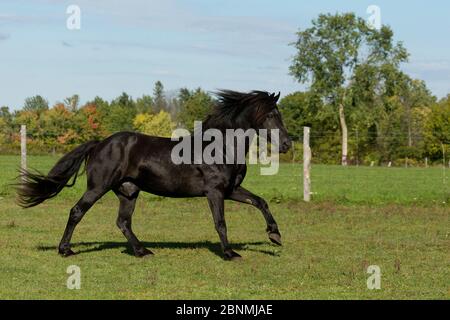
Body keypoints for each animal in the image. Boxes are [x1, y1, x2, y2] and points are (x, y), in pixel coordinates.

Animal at [17, 90, 292, 260]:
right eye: (271, 115)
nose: (287, 144)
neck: (221, 147)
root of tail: (98, 144)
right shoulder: (215, 192)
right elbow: (220, 223)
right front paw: (230, 254)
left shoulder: (231, 190)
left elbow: (260, 202)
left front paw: (275, 236)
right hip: (98, 187)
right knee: (77, 212)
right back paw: (65, 250)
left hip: (128, 191)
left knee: (123, 222)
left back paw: (142, 251)